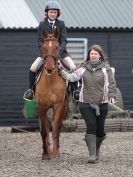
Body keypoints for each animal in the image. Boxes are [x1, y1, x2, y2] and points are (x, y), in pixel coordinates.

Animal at [34, 28, 69, 160]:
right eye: (43, 47)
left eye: (57, 47)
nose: (49, 68)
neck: (50, 81)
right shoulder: (41, 106)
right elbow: (44, 131)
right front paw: (45, 153)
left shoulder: (58, 105)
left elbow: (55, 129)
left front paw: (54, 154)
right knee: (46, 126)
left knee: (57, 127)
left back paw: (56, 151)